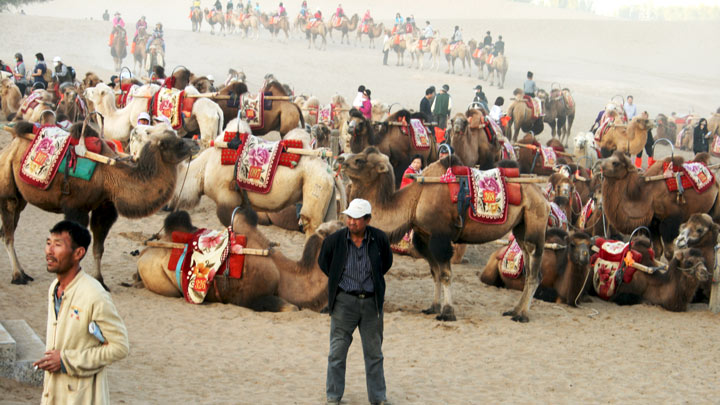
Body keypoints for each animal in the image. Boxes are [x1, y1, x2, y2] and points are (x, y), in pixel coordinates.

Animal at [0, 121, 194, 286]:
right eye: (178, 143)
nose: (194, 144)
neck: (108, 176)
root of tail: (10, 146)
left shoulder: (104, 209)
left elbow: (98, 248)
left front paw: (100, 280)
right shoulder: (76, 208)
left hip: (21, 196)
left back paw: (23, 273)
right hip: (7, 187)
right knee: (8, 233)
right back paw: (17, 276)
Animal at [138, 207, 346, 310]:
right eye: (340, 228)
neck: (284, 275)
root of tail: (143, 252)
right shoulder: (251, 299)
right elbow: (294, 308)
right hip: (159, 279)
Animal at [340, 148, 548, 322]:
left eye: (359, 160)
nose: (339, 159)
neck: (415, 200)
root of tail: (542, 194)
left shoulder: (440, 238)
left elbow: (446, 275)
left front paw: (447, 313)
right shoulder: (425, 237)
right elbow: (435, 274)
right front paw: (433, 307)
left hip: (536, 221)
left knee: (534, 270)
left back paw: (522, 315)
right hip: (521, 227)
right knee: (528, 261)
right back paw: (514, 310)